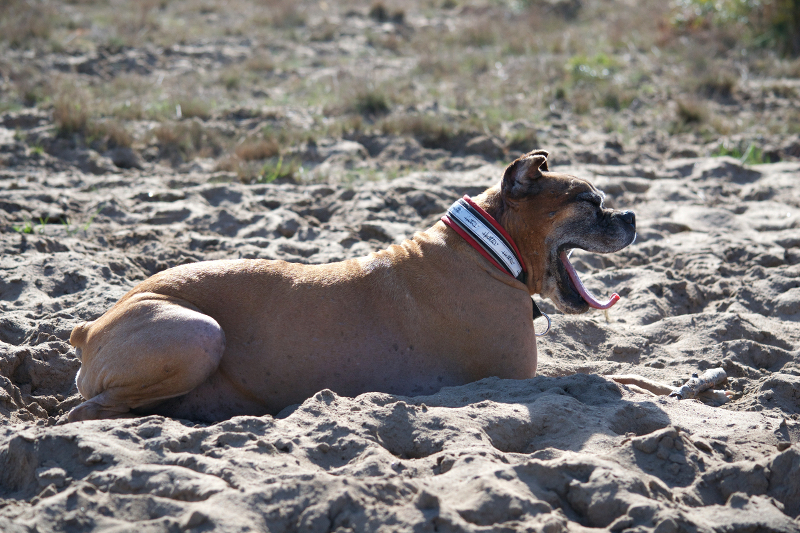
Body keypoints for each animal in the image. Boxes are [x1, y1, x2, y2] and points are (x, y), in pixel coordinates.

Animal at [67, 150, 637, 422]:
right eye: (590, 201)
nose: (631, 215)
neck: (489, 246)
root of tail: (89, 328)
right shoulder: (516, 378)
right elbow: (602, 377)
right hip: (200, 333)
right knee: (86, 410)